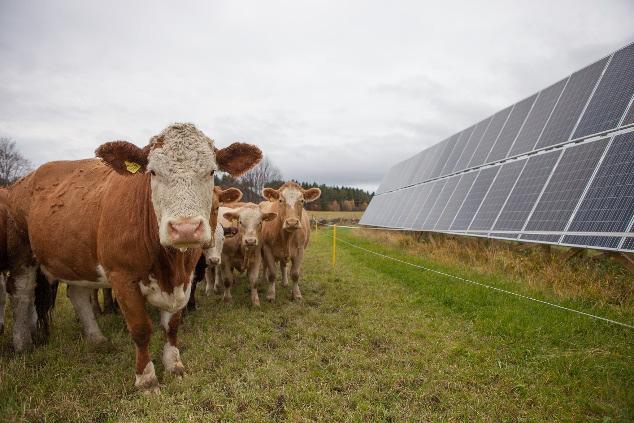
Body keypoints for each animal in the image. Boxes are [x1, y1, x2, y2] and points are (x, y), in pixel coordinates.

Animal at [6, 122, 260, 394]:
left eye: (211, 170)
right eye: (153, 172)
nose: (185, 229)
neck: (169, 266)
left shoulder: (185, 279)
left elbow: (172, 325)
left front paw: (174, 365)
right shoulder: (122, 277)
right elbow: (140, 329)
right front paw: (146, 379)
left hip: (77, 260)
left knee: (77, 294)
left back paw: (96, 338)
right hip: (22, 256)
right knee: (22, 295)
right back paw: (22, 344)